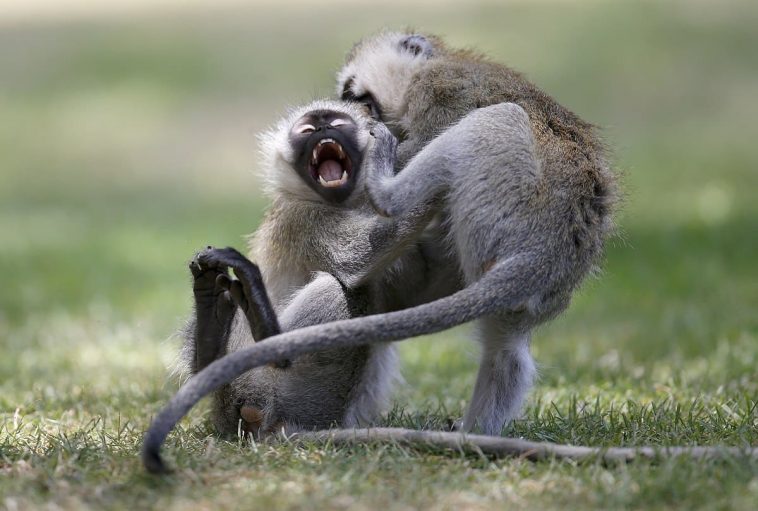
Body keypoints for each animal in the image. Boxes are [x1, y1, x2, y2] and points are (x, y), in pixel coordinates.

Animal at [143, 33, 756, 472]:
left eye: (352, 97)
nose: (356, 118)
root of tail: (548, 251)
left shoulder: (435, 96)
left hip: (502, 190)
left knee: (492, 122)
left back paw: (387, 192)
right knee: (508, 348)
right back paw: (475, 436)